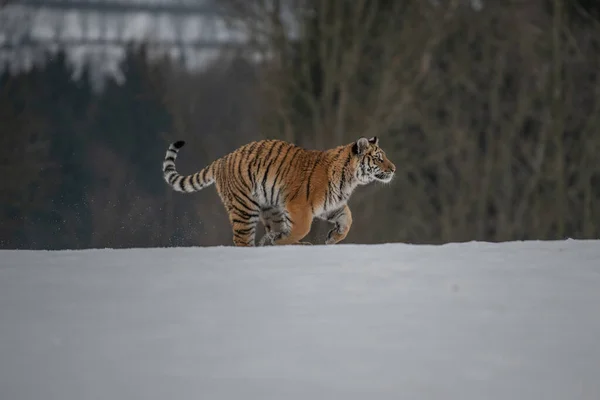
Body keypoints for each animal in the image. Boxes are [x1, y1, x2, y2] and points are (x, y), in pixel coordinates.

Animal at [162, 138, 396, 247]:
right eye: (379, 158)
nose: (394, 169)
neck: (349, 179)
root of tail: (222, 159)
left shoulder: (331, 205)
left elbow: (347, 220)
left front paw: (332, 238)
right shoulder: (299, 207)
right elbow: (300, 229)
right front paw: (278, 241)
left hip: (270, 207)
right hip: (244, 208)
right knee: (242, 241)